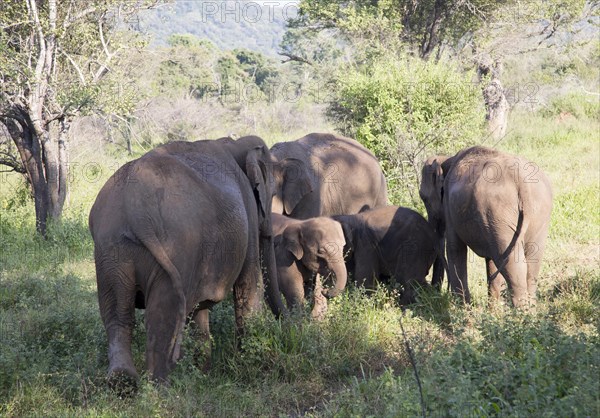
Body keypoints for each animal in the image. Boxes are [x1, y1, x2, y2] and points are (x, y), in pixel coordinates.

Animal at [89, 136, 286, 386]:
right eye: (272, 194)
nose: (292, 324)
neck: (234, 143)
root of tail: (134, 207)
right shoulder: (248, 213)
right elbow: (248, 283)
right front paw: (249, 364)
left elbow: (199, 310)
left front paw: (202, 372)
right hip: (177, 246)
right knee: (161, 312)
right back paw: (159, 387)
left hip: (111, 249)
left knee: (117, 312)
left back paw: (123, 382)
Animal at [420, 146, 552, 306]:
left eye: (423, 197)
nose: (436, 291)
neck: (446, 158)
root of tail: (522, 184)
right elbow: (491, 261)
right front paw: (493, 310)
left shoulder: (450, 209)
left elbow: (454, 248)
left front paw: (462, 309)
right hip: (535, 214)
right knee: (531, 263)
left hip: (498, 212)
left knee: (512, 264)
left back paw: (521, 312)